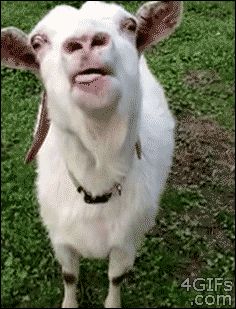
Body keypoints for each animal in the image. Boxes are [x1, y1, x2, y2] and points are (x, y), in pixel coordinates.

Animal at [0, 1, 183, 306]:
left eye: (130, 25)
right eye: (37, 42)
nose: (85, 41)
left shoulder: (126, 243)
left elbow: (116, 278)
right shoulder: (61, 239)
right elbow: (69, 276)